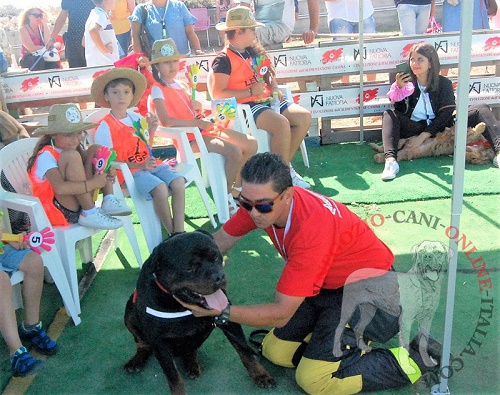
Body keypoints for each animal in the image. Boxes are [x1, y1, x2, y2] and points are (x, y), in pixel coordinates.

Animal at [123, 230, 276, 394]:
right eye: (190, 267)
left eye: (216, 257)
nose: (219, 276)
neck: (180, 306)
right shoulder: (160, 343)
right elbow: (174, 377)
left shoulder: (228, 320)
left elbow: (244, 350)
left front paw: (260, 374)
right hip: (129, 314)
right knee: (142, 343)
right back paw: (136, 361)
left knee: (192, 348)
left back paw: (192, 364)